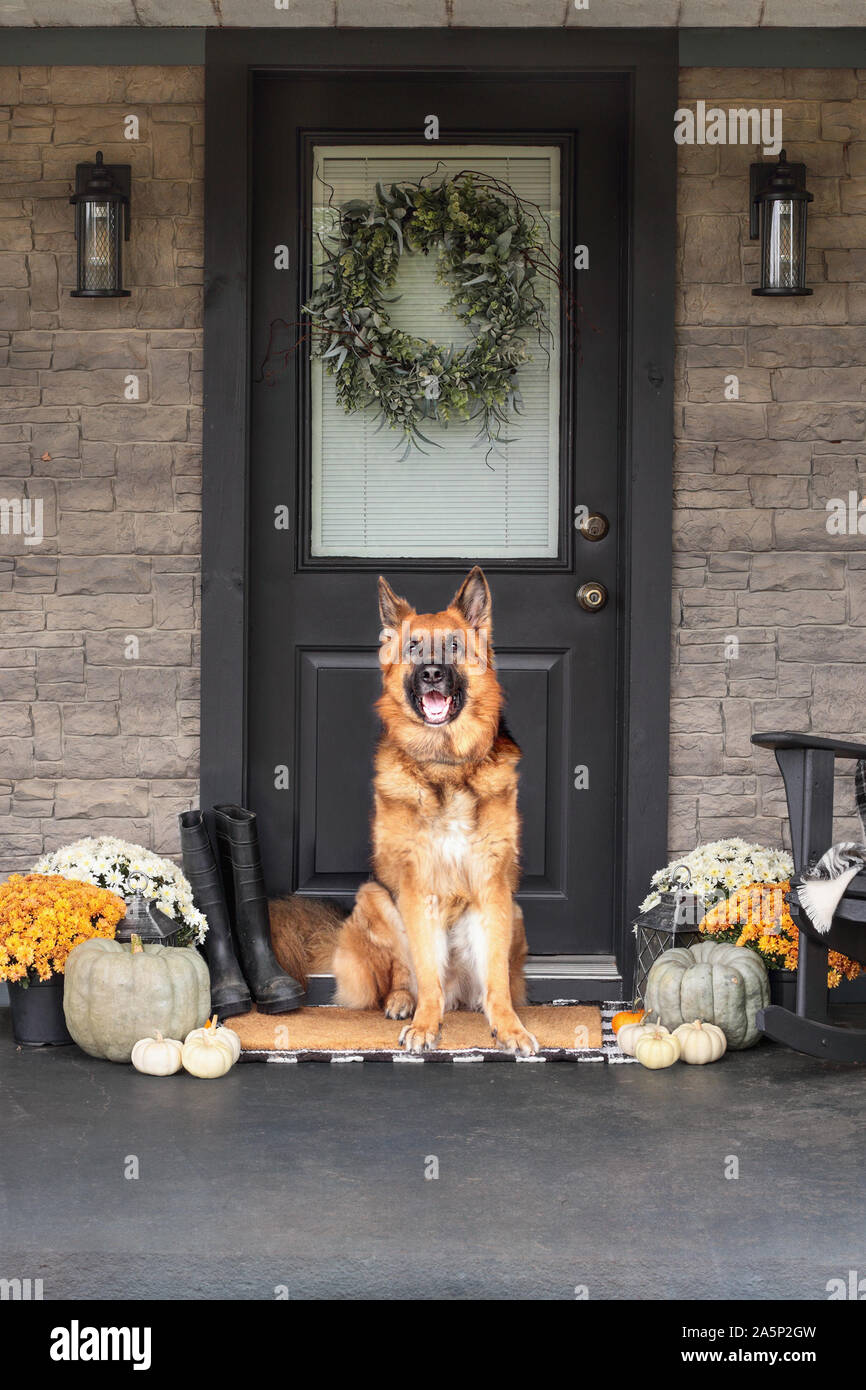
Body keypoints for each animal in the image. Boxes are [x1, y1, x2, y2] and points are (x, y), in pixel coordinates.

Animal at [271, 564, 539, 1050]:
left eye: (453, 646)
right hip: (375, 896)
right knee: (405, 974)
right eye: (414, 647)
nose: (432, 673)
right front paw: (425, 1025)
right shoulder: (418, 889)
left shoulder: (492, 886)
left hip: (514, 911)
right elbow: (426, 972)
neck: (445, 765)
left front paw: (508, 1027)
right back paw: (402, 1002)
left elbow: (495, 978)